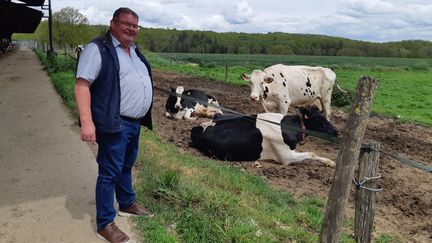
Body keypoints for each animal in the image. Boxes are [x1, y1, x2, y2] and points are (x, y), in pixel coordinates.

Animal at [191, 106, 340, 167]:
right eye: (319, 119)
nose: (337, 131)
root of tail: (197, 128)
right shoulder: (286, 157)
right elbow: (312, 153)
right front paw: (330, 162)